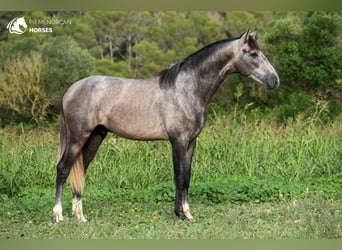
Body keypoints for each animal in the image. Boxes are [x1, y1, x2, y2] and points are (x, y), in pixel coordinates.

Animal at [52, 30, 278, 223]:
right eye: (254, 54)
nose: (275, 81)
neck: (186, 90)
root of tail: (70, 90)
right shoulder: (178, 141)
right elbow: (179, 176)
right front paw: (181, 214)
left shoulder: (191, 142)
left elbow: (187, 177)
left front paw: (186, 213)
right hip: (78, 136)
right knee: (63, 169)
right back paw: (58, 215)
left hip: (95, 137)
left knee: (79, 170)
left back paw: (80, 216)